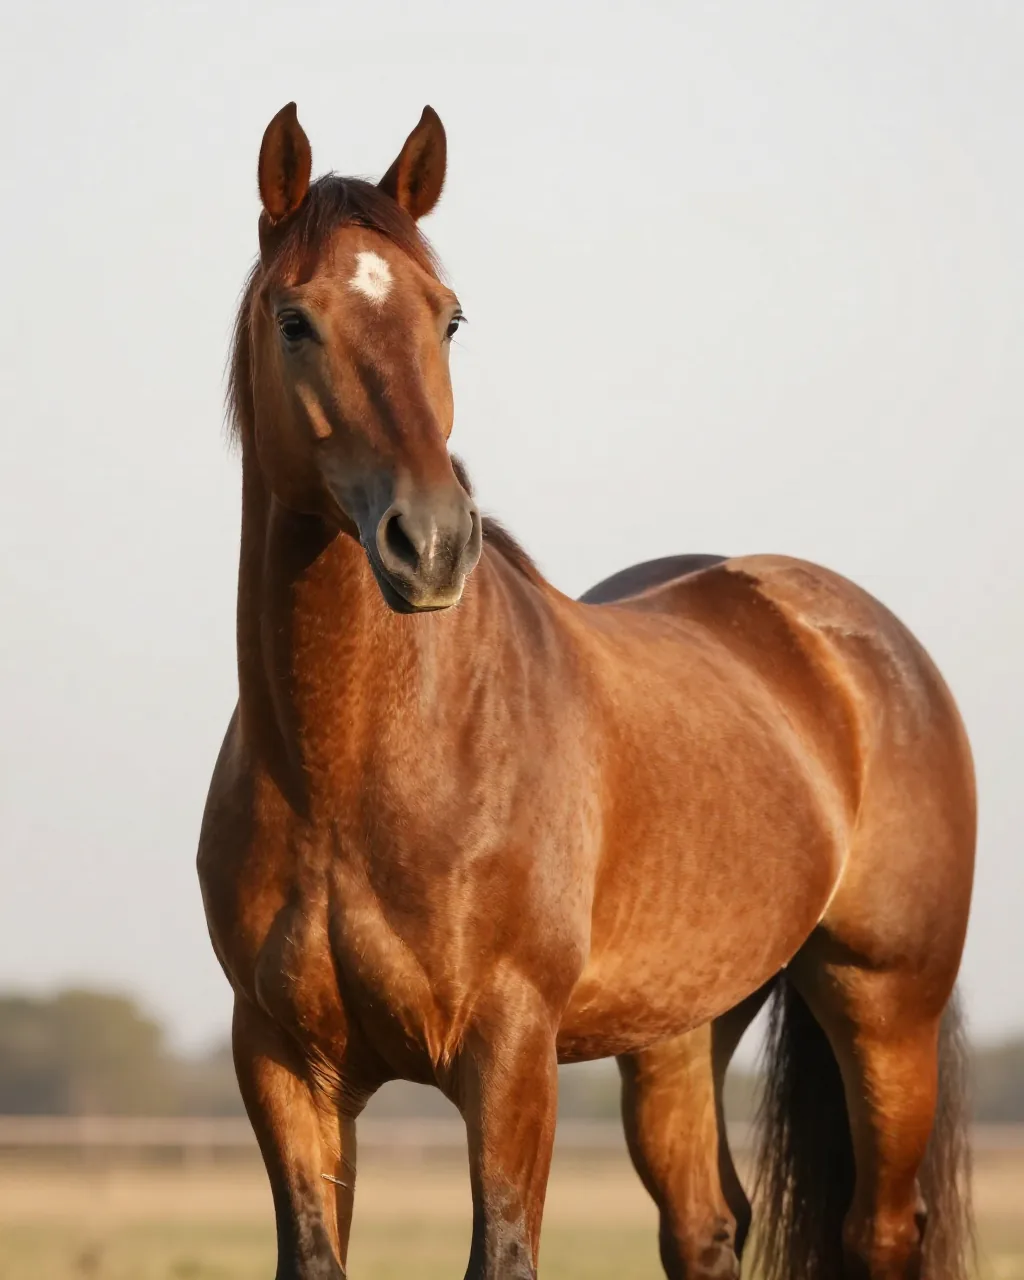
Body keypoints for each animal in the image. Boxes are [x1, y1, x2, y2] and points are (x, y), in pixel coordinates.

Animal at [197, 103, 976, 1280]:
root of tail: (860, 644)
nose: (431, 542)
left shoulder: (509, 1052)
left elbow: (504, 1251)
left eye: (449, 319)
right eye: (295, 320)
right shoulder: (283, 1062)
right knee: (705, 1223)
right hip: (681, 1029)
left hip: (886, 1009)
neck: (356, 763)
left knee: (877, 1231)